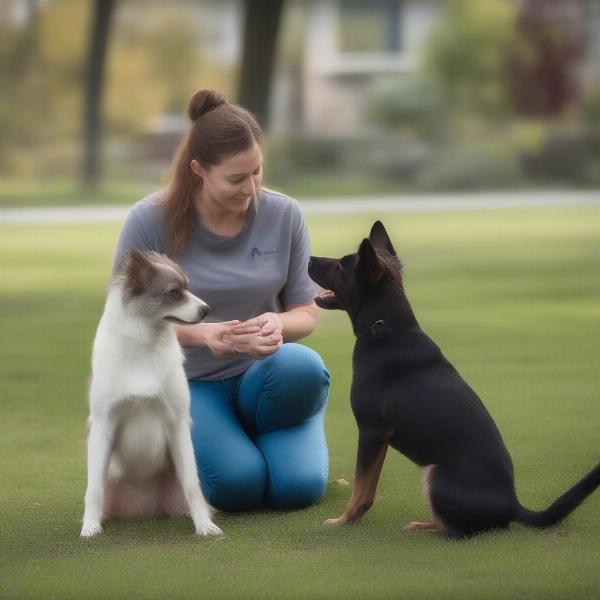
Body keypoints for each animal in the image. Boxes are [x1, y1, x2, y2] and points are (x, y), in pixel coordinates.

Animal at [79, 251, 220, 536]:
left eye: (188, 287)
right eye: (174, 292)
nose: (207, 309)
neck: (144, 346)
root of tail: (148, 504)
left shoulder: (177, 423)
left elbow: (192, 484)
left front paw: (204, 526)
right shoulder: (103, 423)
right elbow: (94, 487)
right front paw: (90, 527)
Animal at [310, 221, 600, 540]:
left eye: (341, 265)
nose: (309, 259)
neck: (385, 329)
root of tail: (512, 505)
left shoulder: (371, 431)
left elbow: (361, 489)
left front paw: (342, 521)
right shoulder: (379, 436)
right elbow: (368, 489)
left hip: (436, 473)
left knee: (457, 531)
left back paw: (425, 529)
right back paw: (423, 524)